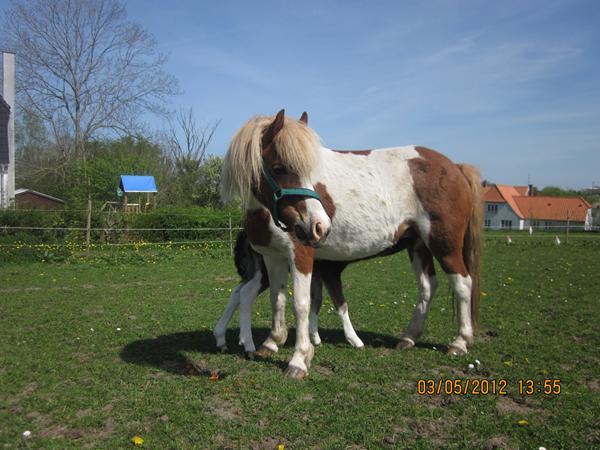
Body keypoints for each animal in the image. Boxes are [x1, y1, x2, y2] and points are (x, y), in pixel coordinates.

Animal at [220, 110, 482, 380]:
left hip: (444, 245)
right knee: (428, 286)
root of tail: (455, 167)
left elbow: (301, 305)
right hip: (418, 245)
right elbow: (277, 300)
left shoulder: (301, 255)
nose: (319, 227)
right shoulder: (273, 258)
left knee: (463, 284)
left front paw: (299, 359)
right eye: (278, 167)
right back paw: (409, 338)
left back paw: (460, 341)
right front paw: (272, 343)